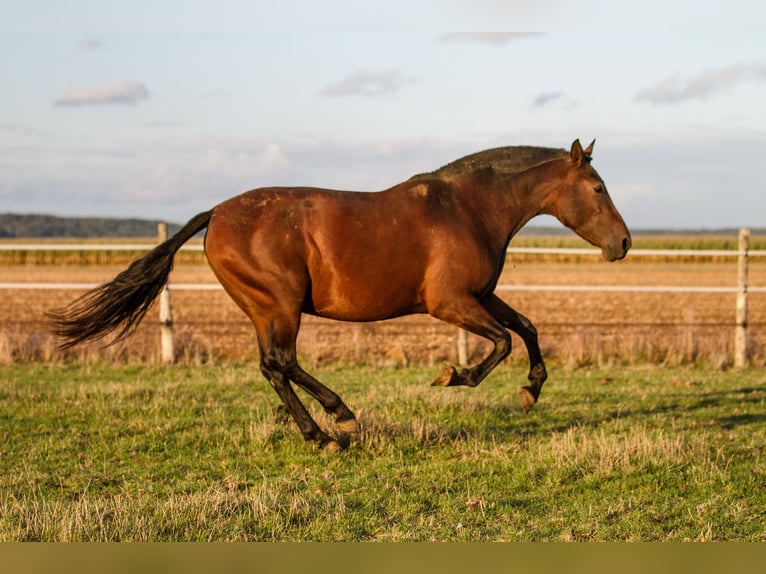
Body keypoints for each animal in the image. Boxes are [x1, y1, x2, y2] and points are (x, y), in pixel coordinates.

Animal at [51, 141, 632, 454]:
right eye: (598, 188)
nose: (623, 243)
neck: (469, 209)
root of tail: (215, 214)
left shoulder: (480, 295)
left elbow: (527, 328)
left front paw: (531, 391)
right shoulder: (449, 302)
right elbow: (502, 344)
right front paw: (452, 376)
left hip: (262, 309)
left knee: (271, 366)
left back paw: (321, 434)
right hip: (281, 304)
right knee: (283, 361)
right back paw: (341, 419)